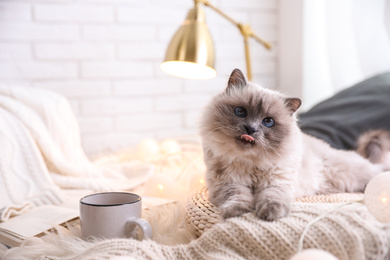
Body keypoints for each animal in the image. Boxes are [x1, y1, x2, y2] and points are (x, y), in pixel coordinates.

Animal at [201, 68, 390, 220]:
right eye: (240, 111)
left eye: (268, 122)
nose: (250, 129)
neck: (250, 162)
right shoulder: (229, 183)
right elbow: (236, 198)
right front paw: (238, 212)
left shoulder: (276, 182)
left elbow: (272, 198)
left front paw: (271, 214)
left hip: (352, 173)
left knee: (377, 170)